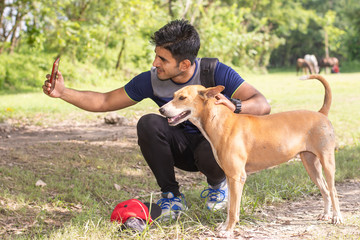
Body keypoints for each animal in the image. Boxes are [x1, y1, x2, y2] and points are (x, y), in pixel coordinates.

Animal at [160, 75, 344, 238]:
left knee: (333, 190)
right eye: (174, 96)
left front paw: (228, 231)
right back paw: (326, 214)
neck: (221, 120)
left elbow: (233, 209)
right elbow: (230, 207)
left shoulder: (237, 177)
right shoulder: (230, 177)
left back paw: (336, 217)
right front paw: (225, 226)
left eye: (182, 98)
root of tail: (321, 113)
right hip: (311, 165)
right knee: (325, 190)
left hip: (327, 162)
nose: (161, 109)